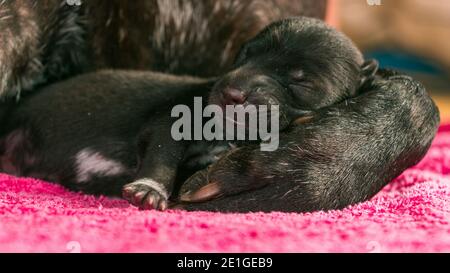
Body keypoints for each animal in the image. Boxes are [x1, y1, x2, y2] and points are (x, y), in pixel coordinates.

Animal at [0, 16, 376, 210]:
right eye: (245, 55)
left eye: (301, 81)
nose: (232, 92)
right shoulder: (169, 121)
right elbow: (163, 153)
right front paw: (149, 188)